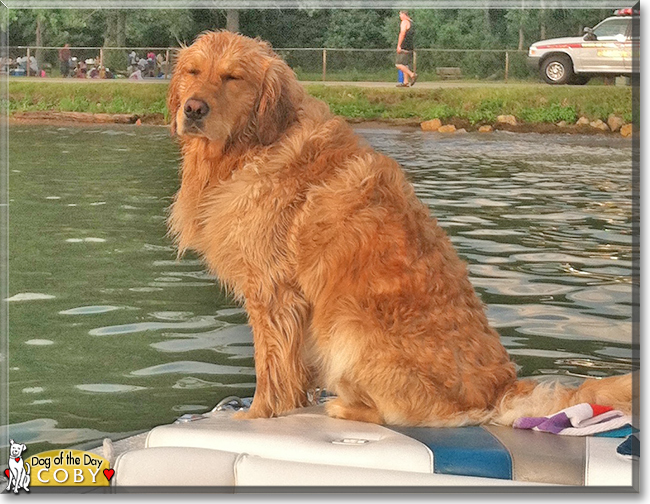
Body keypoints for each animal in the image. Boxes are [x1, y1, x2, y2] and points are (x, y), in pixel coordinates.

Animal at [165, 30, 632, 426]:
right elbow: (291, 372)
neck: (253, 146)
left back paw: (343, 406)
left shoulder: (272, 291)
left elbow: (271, 367)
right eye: (193, 72)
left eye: (233, 77)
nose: (193, 109)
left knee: (402, 412)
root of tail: (500, 387)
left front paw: (258, 414)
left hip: (346, 327)